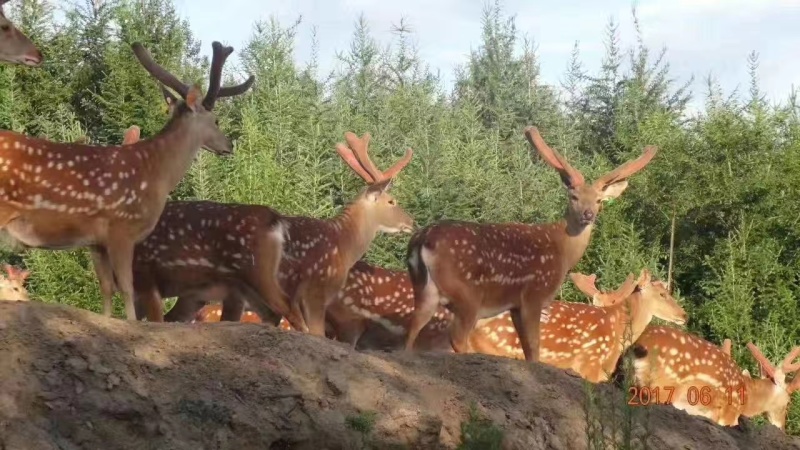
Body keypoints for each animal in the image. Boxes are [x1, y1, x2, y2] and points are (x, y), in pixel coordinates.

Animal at [0, 40, 254, 321]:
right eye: (216, 120)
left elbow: (106, 289)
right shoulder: (122, 227)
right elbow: (126, 288)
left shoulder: (96, 242)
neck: (155, 172)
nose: (229, 146)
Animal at [404, 126, 657, 361]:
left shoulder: (516, 305)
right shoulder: (534, 295)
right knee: (456, 335)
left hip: (425, 289)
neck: (563, 251)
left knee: (412, 329)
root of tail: (422, 240)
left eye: (599, 201)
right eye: (573, 196)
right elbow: (534, 348)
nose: (588, 215)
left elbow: (527, 348)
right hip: (467, 293)